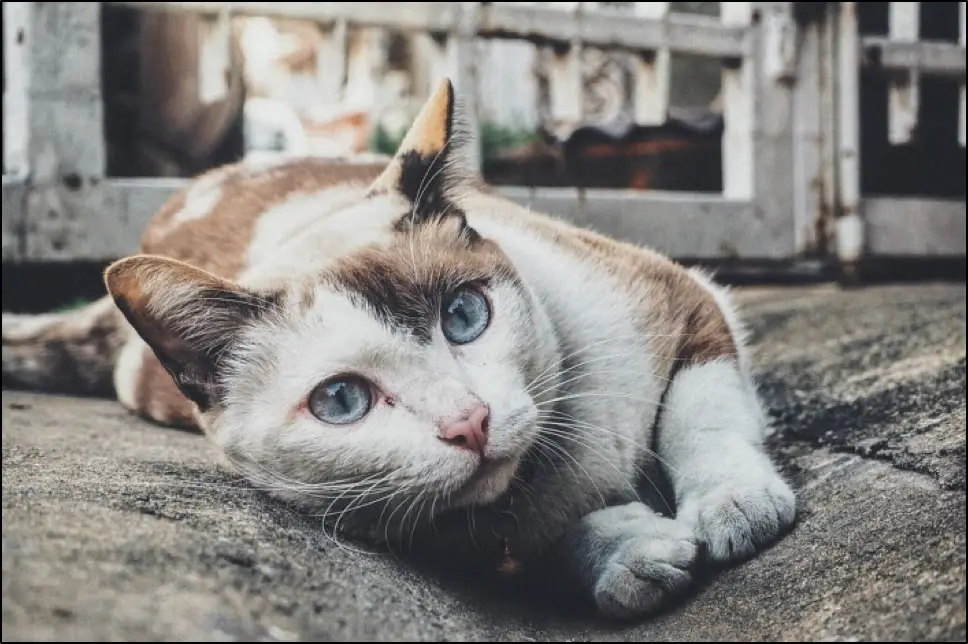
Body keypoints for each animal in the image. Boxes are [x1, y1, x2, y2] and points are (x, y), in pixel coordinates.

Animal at [1, 79, 796, 620]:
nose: (469, 423)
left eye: (465, 315)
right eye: (341, 400)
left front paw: (734, 504)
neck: (552, 469)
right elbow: (550, 542)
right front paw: (629, 555)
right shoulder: (437, 535)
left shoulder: (677, 294)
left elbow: (701, 414)